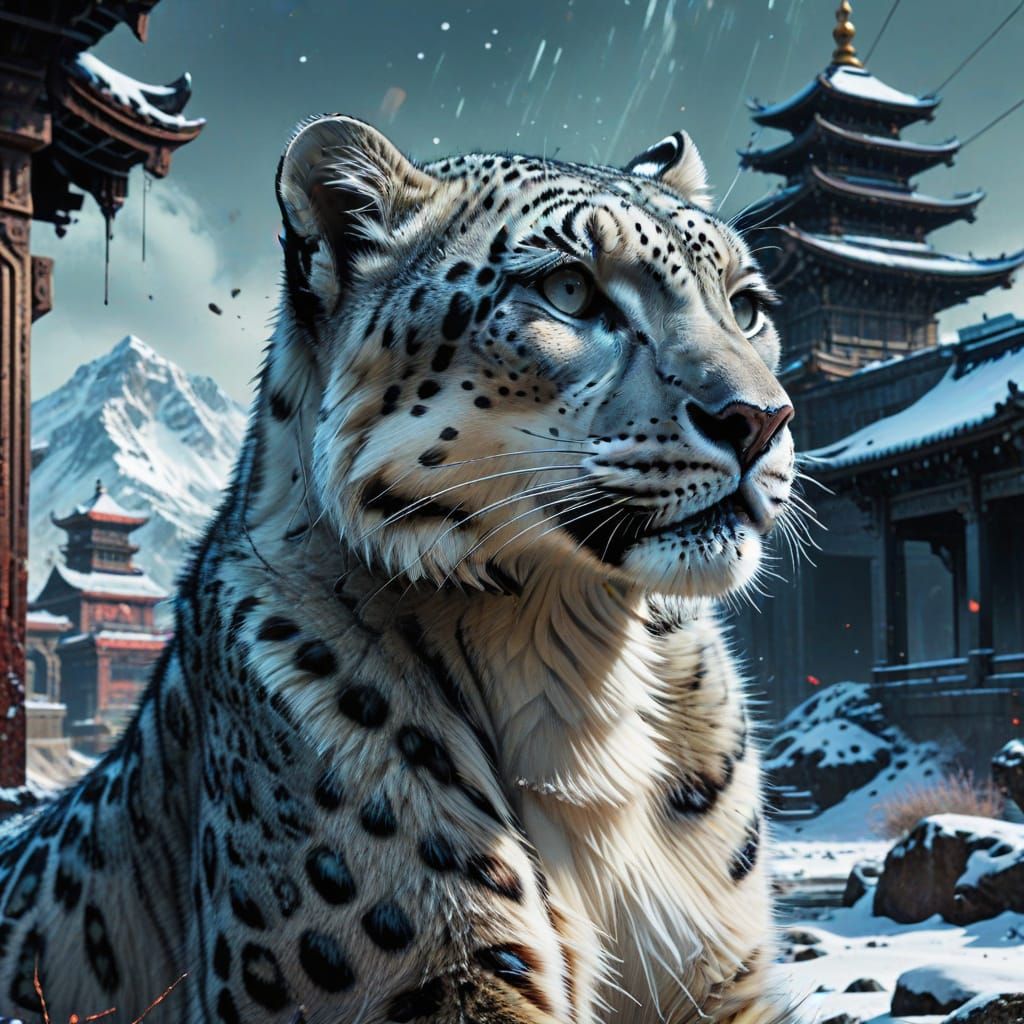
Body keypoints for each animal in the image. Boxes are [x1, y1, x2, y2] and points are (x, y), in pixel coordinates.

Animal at [0, 115, 800, 1024]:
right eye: (568, 290)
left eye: (746, 306)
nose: (760, 418)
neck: (581, 669)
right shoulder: (436, 976)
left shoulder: (722, 976)